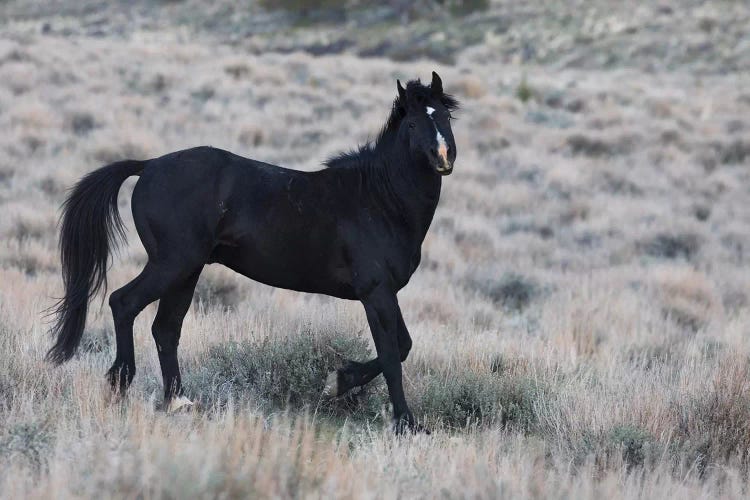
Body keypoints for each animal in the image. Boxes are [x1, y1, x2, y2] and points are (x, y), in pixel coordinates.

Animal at [50, 71, 458, 434]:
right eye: (412, 124)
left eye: (446, 117)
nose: (443, 157)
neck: (378, 199)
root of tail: (148, 166)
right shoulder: (375, 293)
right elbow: (392, 356)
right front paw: (405, 422)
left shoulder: (385, 293)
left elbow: (402, 347)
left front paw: (340, 380)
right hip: (172, 264)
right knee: (124, 303)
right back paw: (119, 383)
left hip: (187, 271)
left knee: (165, 328)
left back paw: (178, 402)